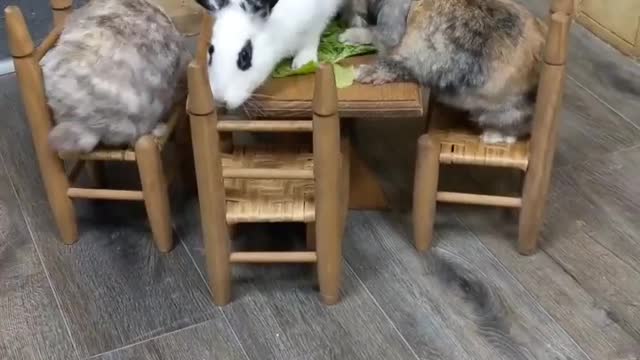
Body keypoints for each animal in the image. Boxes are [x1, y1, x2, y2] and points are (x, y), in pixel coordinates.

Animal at [195, 0, 344, 108]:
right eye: (211, 50)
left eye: (245, 55)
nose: (220, 100)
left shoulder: (318, 17)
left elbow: (311, 38)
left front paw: (303, 62)